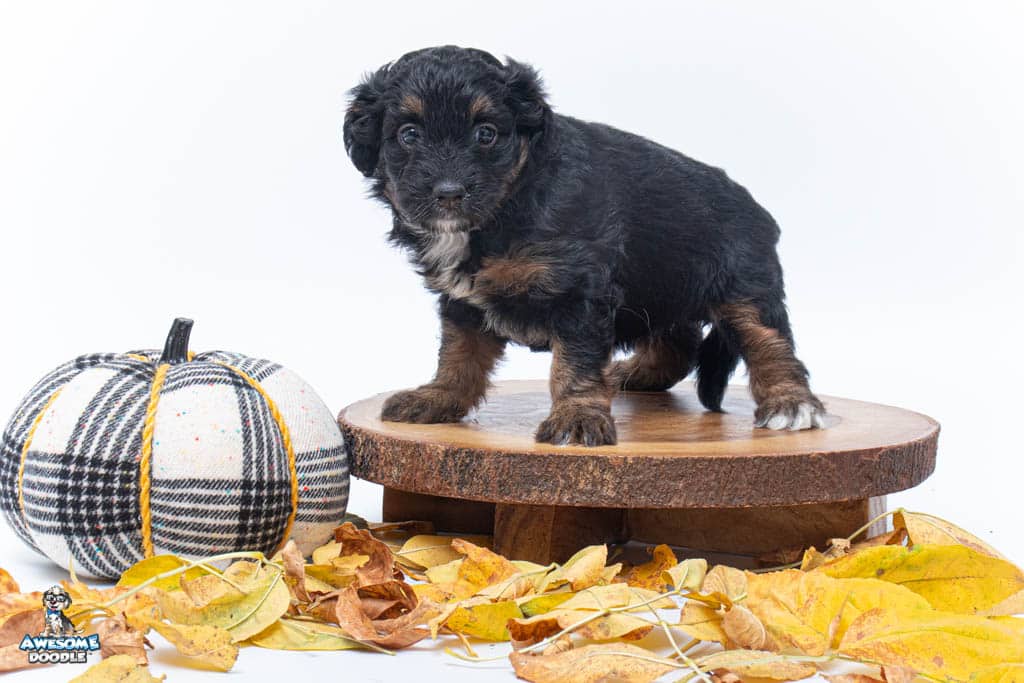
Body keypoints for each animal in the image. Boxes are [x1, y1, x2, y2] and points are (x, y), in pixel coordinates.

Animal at [343, 46, 825, 446]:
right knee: (680, 338)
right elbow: (459, 353)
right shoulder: (463, 299)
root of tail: (756, 208)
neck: (509, 203)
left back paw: (790, 404)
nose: (448, 193)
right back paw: (636, 372)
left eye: (486, 134)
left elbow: (573, 364)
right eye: (408, 134)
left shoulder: (579, 290)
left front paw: (576, 418)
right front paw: (439, 397)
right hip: (661, 282)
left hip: (744, 283)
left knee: (769, 341)